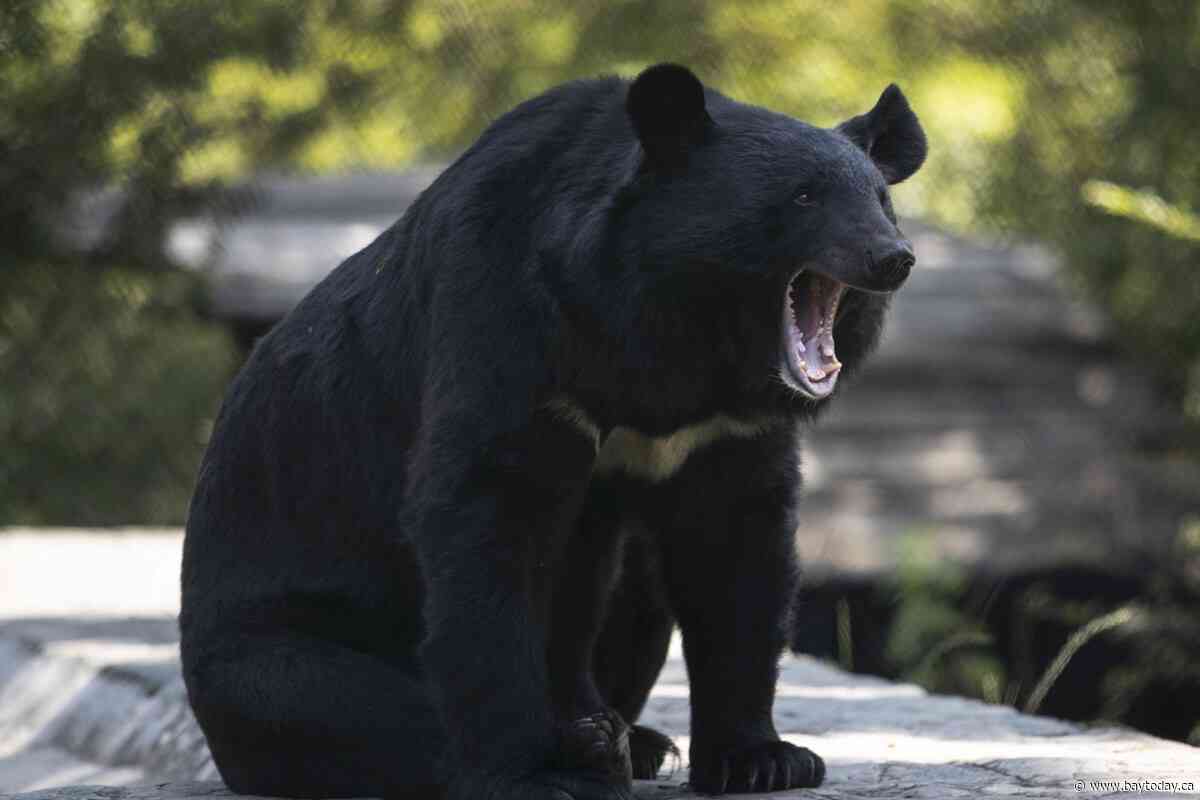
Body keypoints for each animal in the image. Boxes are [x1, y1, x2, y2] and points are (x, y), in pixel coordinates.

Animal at [180, 63, 926, 800]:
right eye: (803, 198)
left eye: (880, 202)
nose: (894, 258)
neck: (678, 339)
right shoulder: (510, 328)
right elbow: (490, 522)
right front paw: (533, 772)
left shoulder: (724, 430)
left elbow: (736, 554)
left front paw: (765, 760)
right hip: (267, 645)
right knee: (356, 709)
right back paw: (589, 750)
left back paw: (632, 740)